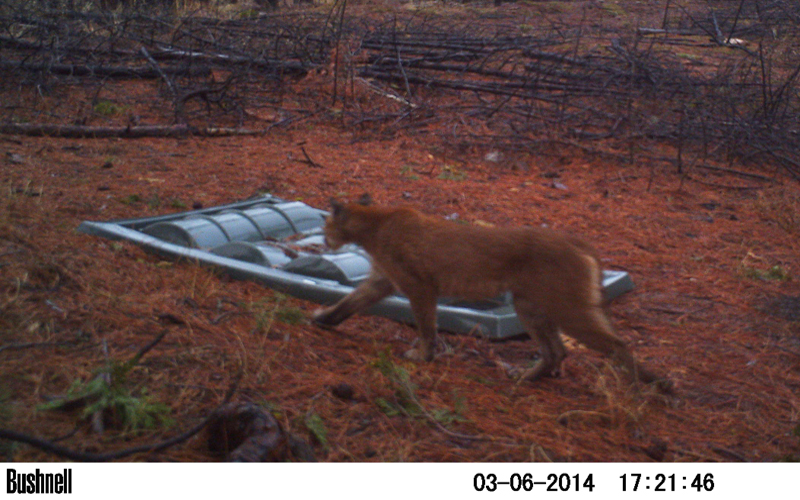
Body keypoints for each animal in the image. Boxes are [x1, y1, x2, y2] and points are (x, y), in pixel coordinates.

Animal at [312, 195, 668, 390]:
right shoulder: (382, 281)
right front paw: (323, 319)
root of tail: (577, 240)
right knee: (557, 351)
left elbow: (426, 326)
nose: (324, 238)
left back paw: (645, 389)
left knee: (616, 344)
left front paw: (423, 356)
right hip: (531, 306)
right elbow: (349, 302)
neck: (375, 224)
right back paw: (525, 377)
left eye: (326, 224)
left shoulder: (420, 286)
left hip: (568, 309)